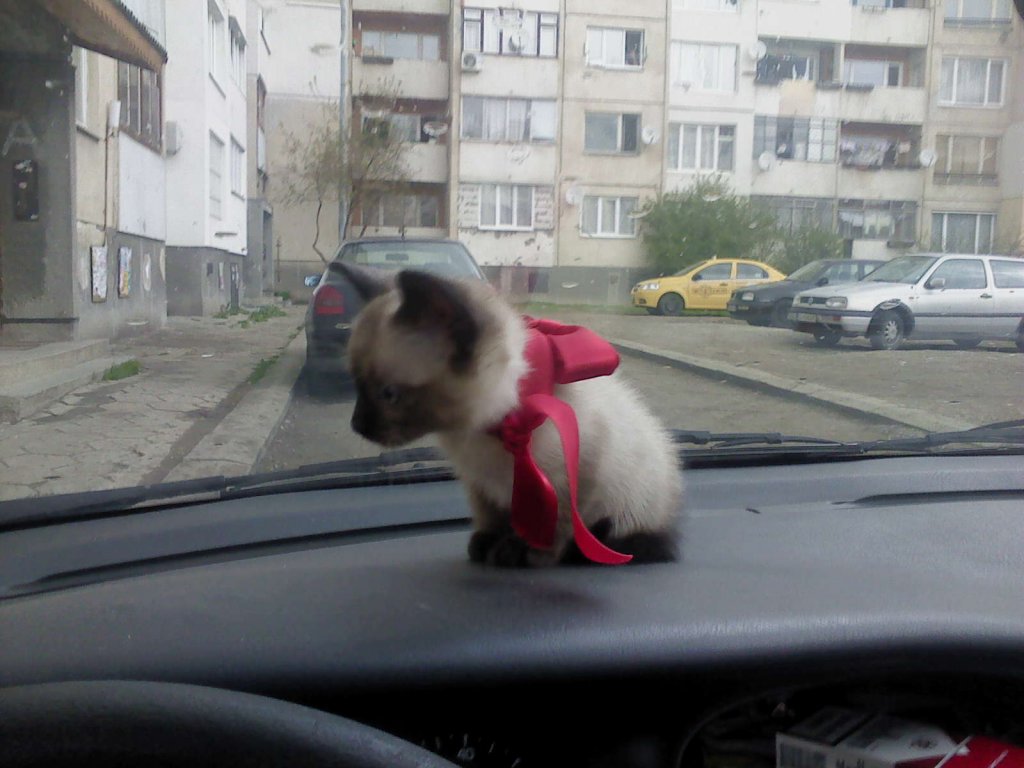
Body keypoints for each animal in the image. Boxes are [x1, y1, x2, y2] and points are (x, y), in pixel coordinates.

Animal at [334, 262, 682, 567]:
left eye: (388, 394)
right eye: (355, 384)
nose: (356, 425)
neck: (495, 427)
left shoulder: (573, 480)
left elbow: (555, 525)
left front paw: (524, 552)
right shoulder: (479, 482)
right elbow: (491, 516)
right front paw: (487, 543)